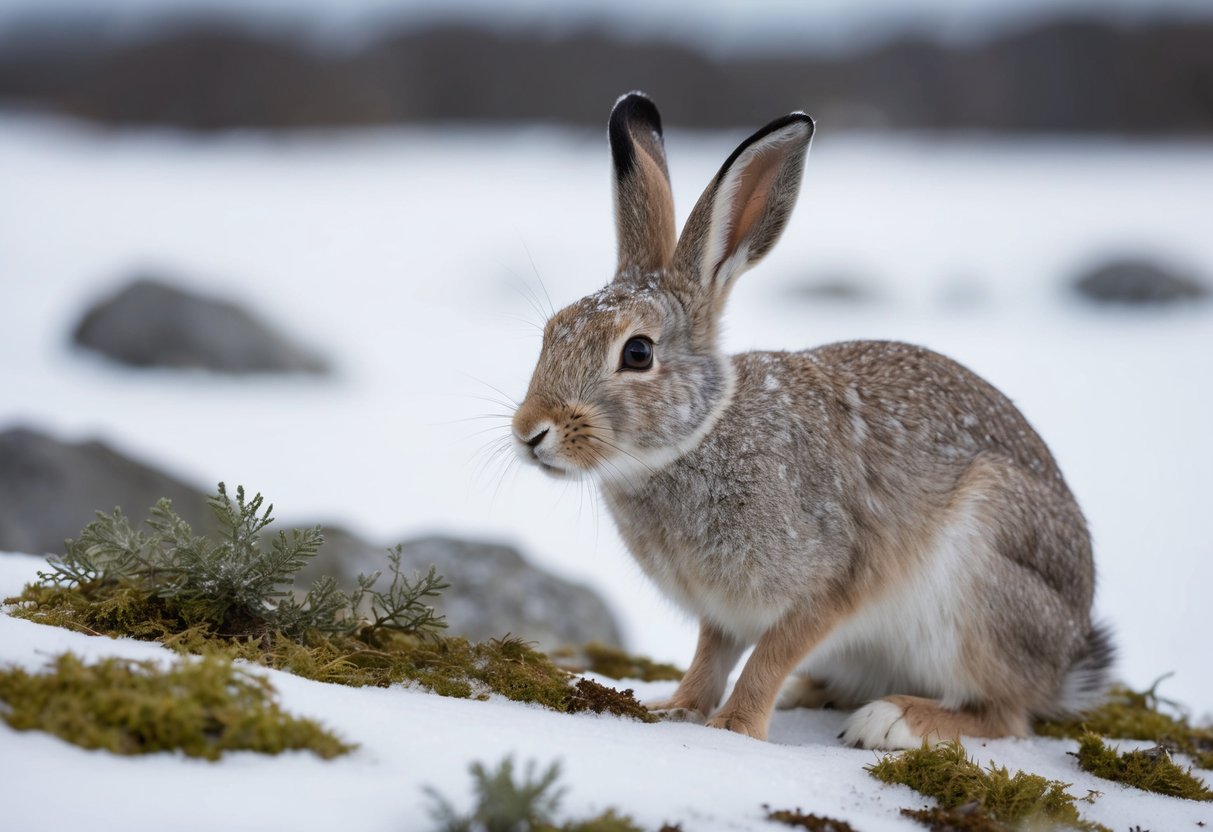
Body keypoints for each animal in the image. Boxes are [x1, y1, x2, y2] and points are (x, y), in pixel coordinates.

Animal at [510, 91, 1112, 749]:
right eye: (551, 331)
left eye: (638, 353)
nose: (529, 432)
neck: (699, 437)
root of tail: (1064, 664)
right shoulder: (721, 612)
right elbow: (711, 655)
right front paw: (678, 709)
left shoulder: (831, 582)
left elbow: (770, 655)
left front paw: (736, 727)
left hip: (981, 589)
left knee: (1006, 714)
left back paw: (891, 720)